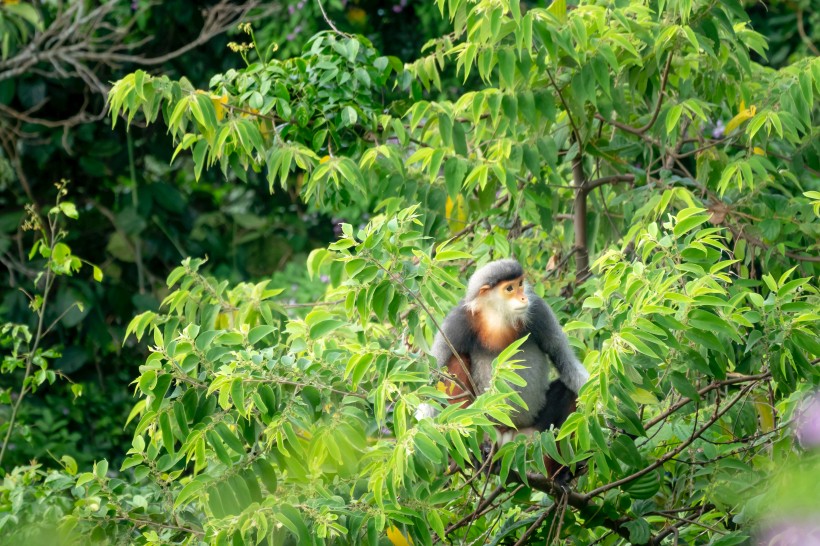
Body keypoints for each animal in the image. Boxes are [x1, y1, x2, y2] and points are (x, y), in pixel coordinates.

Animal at [416, 258, 588, 444]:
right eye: (509, 289)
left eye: (520, 284)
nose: (523, 297)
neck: (496, 318)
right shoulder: (454, 325)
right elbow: (434, 378)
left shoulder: (539, 311)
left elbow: (567, 364)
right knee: (455, 361)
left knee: (569, 391)